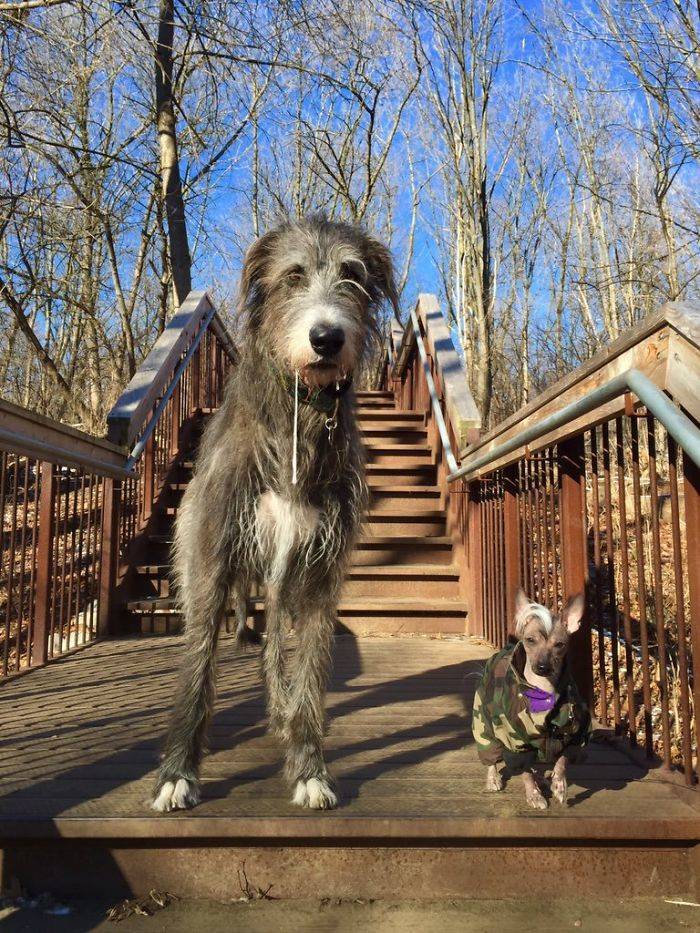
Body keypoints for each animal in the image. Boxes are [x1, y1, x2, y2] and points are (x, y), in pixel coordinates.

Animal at [151, 215, 396, 812]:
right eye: (293, 275)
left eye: (352, 276)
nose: (326, 338)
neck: (300, 416)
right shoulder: (214, 556)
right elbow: (197, 666)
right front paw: (177, 772)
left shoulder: (321, 573)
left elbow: (308, 673)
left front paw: (309, 768)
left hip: (283, 580)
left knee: (270, 645)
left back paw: (281, 711)